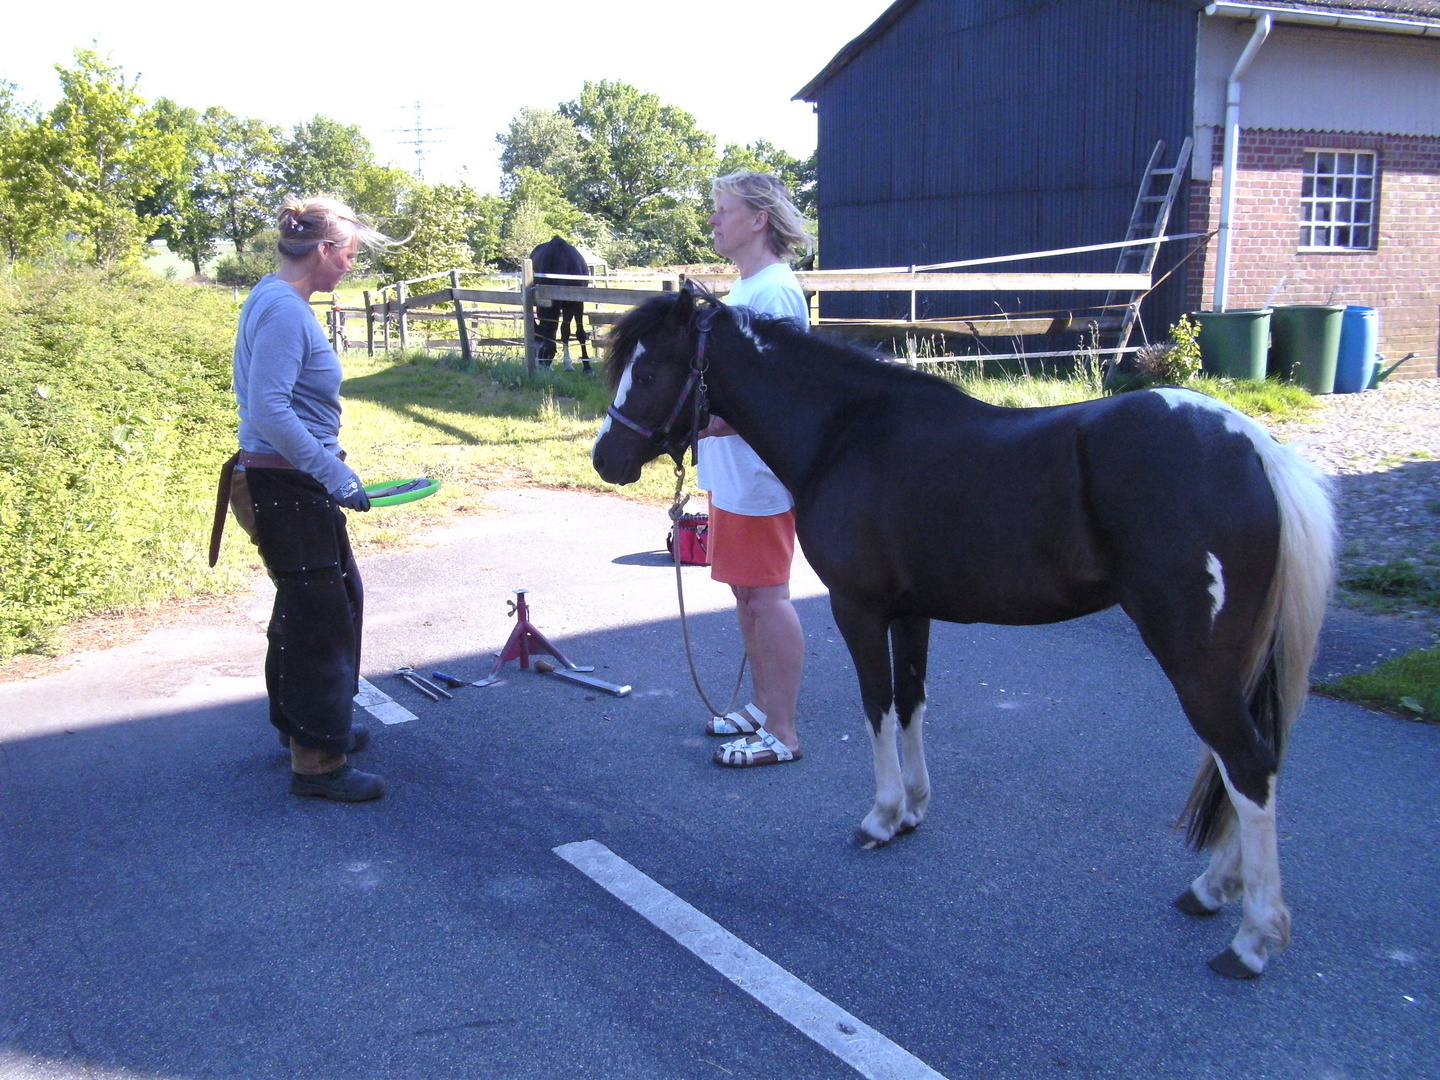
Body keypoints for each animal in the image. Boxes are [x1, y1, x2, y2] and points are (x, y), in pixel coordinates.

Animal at [529, 236, 590, 371]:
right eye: (533, 349)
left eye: (546, 350)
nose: (540, 370)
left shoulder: (576, 304)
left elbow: (578, 333)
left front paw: (587, 367)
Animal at [590, 288, 1330, 979]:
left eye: (649, 373)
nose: (605, 458)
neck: (845, 433)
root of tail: (1249, 444)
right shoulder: (911, 612)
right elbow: (911, 703)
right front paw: (913, 811)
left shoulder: (859, 609)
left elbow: (878, 707)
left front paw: (881, 818)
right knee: (1248, 763)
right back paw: (1214, 890)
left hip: (1196, 661)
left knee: (1247, 763)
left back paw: (1252, 939)